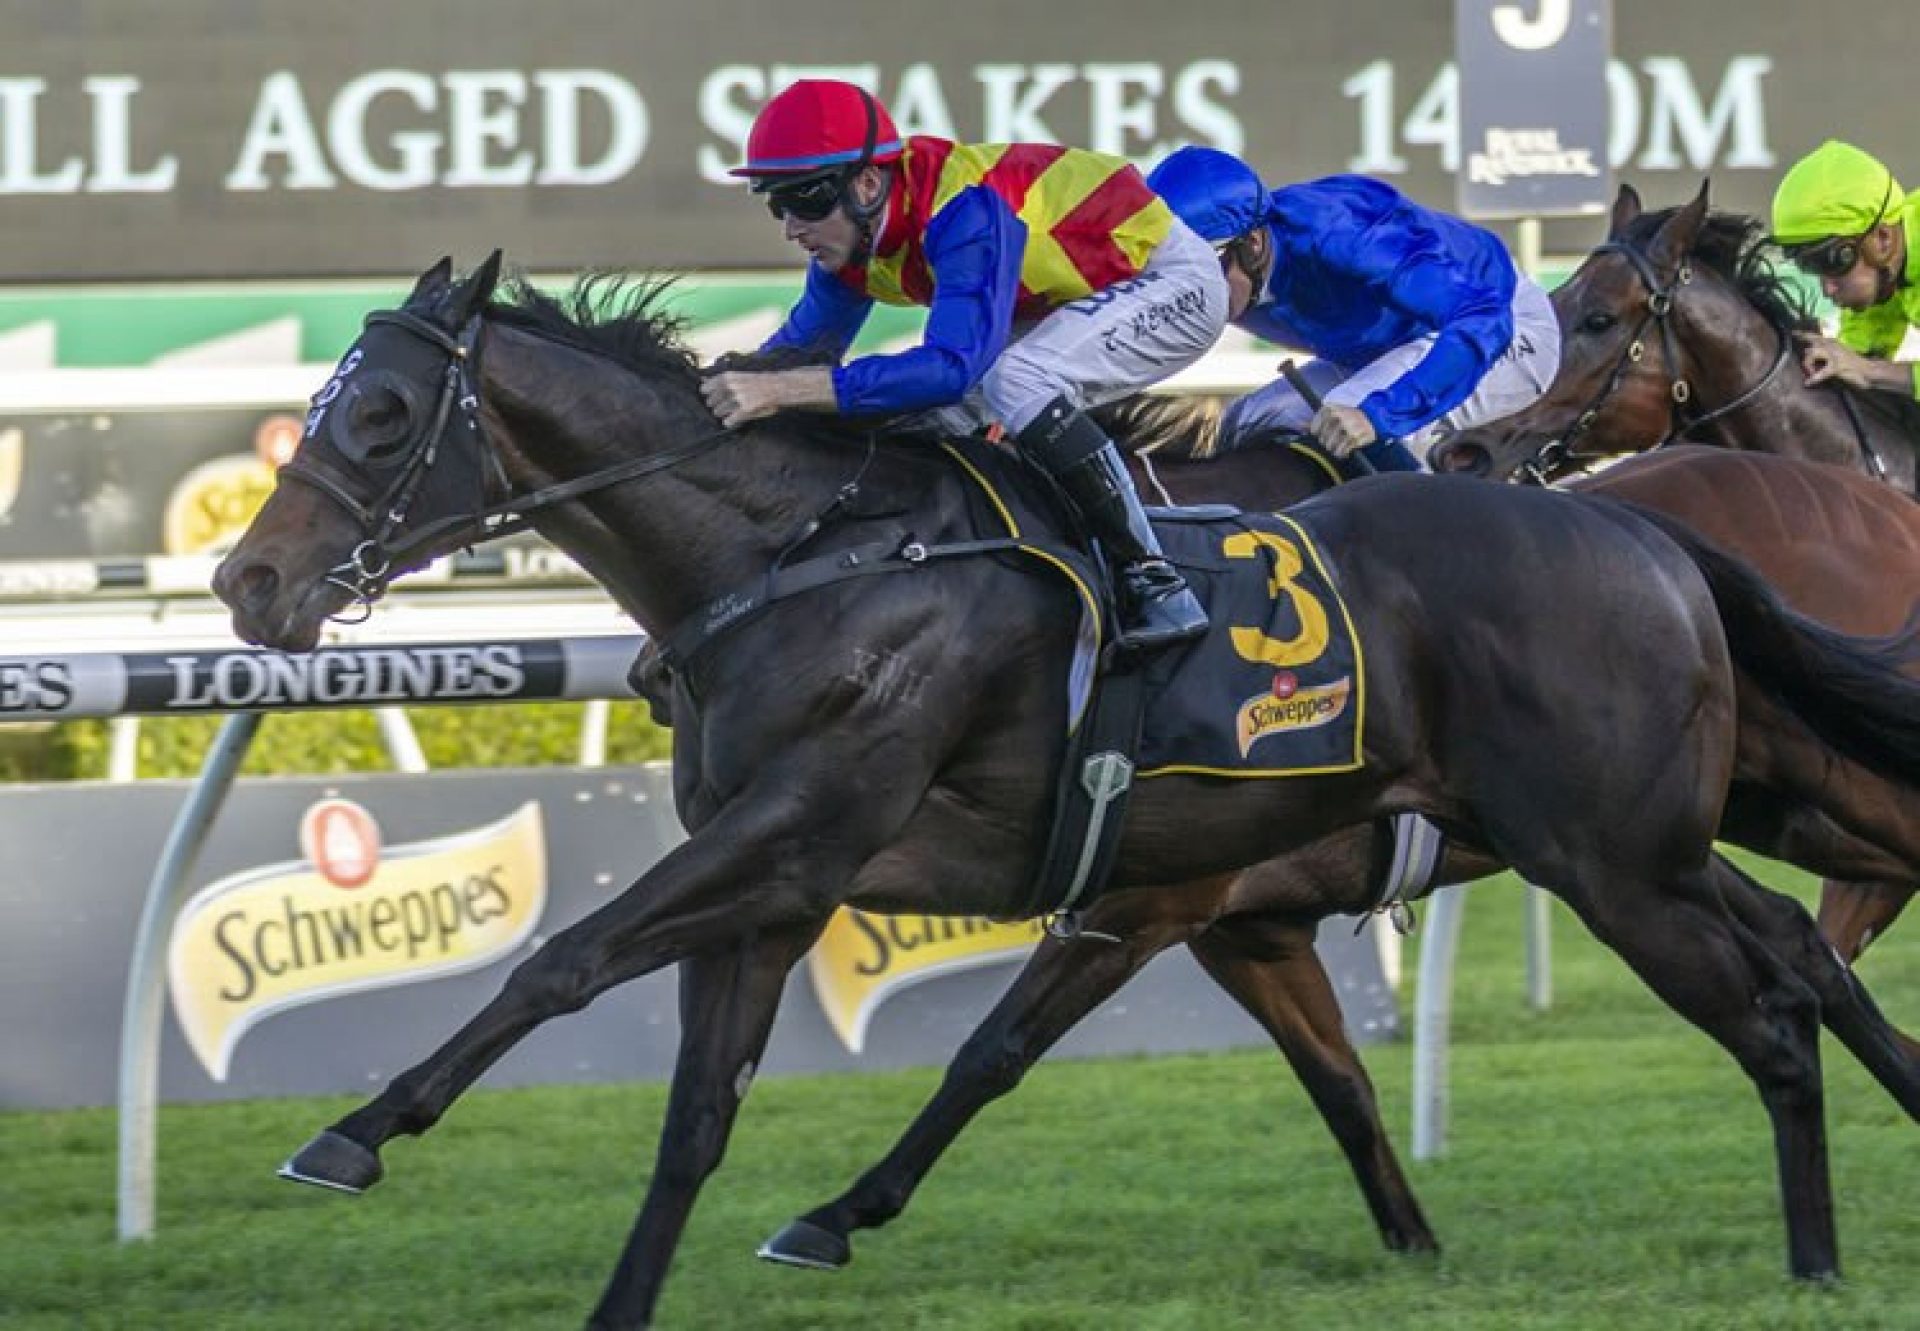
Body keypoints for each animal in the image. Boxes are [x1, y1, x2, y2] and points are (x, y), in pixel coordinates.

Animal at [210, 257, 1920, 1321]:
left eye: (380, 414)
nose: (246, 580)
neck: (804, 556)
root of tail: (1637, 529)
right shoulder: (818, 883)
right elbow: (708, 1109)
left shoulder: (814, 834)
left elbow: (564, 962)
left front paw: (355, 1127)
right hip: (1654, 833)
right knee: (1800, 956)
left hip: (1625, 852)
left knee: (1778, 1008)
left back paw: (1818, 1259)